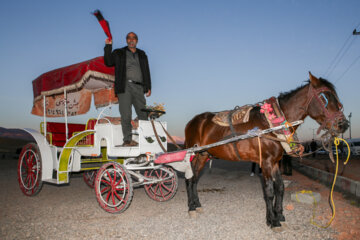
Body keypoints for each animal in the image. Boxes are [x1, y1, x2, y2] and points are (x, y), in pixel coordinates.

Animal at [184, 72, 348, 228]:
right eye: (324, 97)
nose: (344, 124)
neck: (272, 125)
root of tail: (192, 122)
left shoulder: (275, 162)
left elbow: (280, 188)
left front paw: (279, 215)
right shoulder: (266, 162)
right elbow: (269, 191)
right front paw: (273, 221)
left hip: (203, 155)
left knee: (194, 179)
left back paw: (197, 204)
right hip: (193, 154)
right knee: (189, 179)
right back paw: (191, 207)